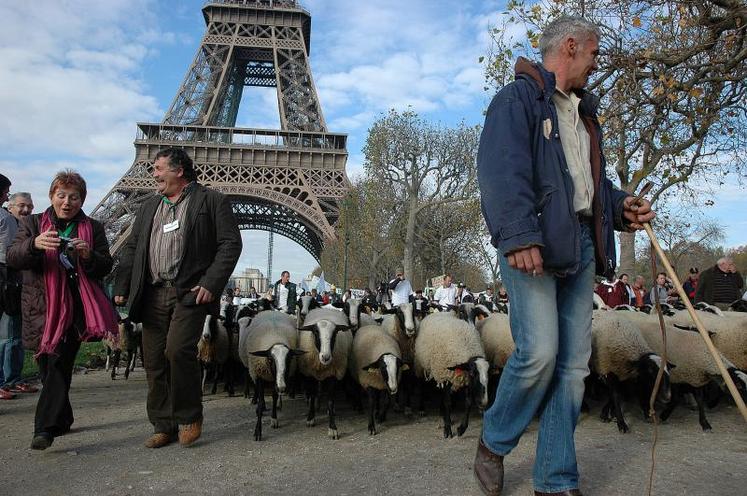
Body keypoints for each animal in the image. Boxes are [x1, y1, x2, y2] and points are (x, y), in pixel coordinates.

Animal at [237, 312, 300, 440]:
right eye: (270, 359)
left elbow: (274, 397)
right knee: (257, 390)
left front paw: (274, 419)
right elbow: (261, 401)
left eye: (289, 359)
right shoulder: (259, 374)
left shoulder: (275, 380)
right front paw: (258, 431)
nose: (282, 387)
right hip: (254, 371)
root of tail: (272, 311)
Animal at [298, 308, 354, 440]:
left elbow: (330, 401)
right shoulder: (310, 374)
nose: (326, 357)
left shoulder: (334, 374)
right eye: (316, 332)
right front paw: (310, 418)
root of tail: (326, 308)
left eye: (335, 333)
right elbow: (312, 396)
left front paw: (333, 428)